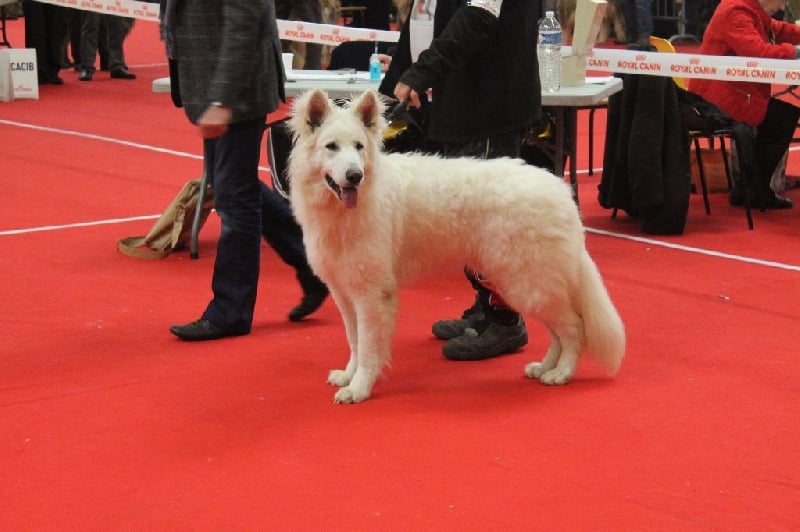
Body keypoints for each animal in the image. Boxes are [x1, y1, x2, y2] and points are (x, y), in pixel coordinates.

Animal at [287, 89, 625, 404]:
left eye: (358, 147)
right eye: (331, 147)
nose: (354, 176)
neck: (344, 209)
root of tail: (560, 190)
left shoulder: (372, 295)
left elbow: (369, 346)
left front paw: (359, 388)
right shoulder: (345, 293)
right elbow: (354, 341)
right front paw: (348, 376)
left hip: (528, 284)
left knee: (574, 328)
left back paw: (561, 373)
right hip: (532, 287)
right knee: (558, 332)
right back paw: (545, 368)